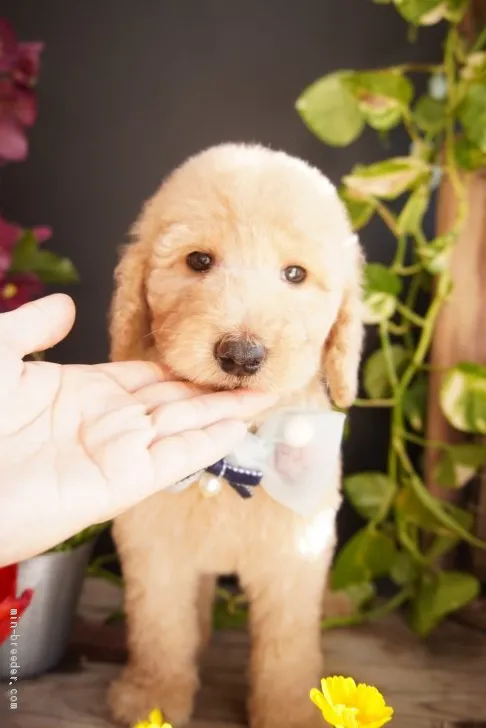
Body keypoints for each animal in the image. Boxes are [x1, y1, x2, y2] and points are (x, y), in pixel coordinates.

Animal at [107, 145, 364, 728]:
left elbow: (287, 646)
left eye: (295, 274)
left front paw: (292, 709)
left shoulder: (297, 552)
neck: (235, 455)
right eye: (199, 261)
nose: (241, 355)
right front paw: (153, 696)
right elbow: (160, 629)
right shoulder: (155, 548)